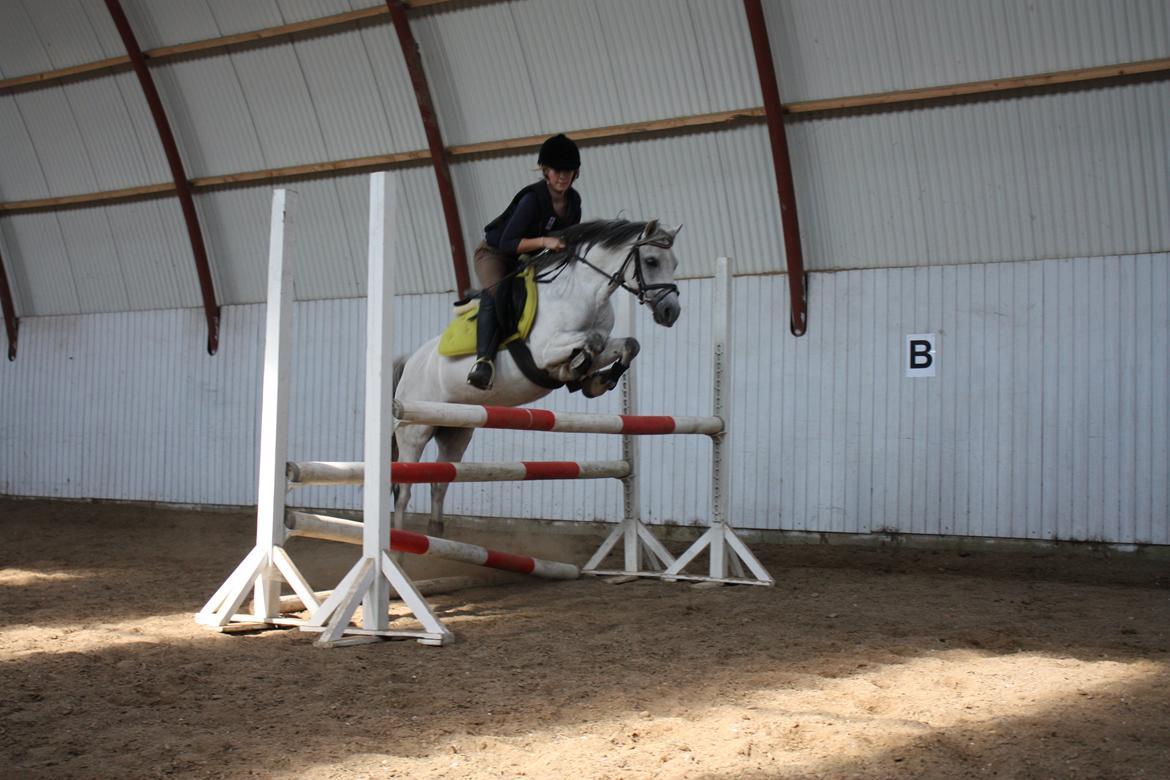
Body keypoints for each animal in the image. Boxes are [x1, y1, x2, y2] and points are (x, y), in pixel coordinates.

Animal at [395, 218, 683, 537]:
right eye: (651, 261)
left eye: (674, 263)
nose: (671, 312)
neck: (585, 293)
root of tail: (411, 362)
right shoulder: (545, 350)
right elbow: (591, 342)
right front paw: (578, 368)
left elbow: (629, 344)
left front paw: (594, 380)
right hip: (414, 429)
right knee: (404, 490)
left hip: (455, 431)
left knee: (439, 483)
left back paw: (435, 535)